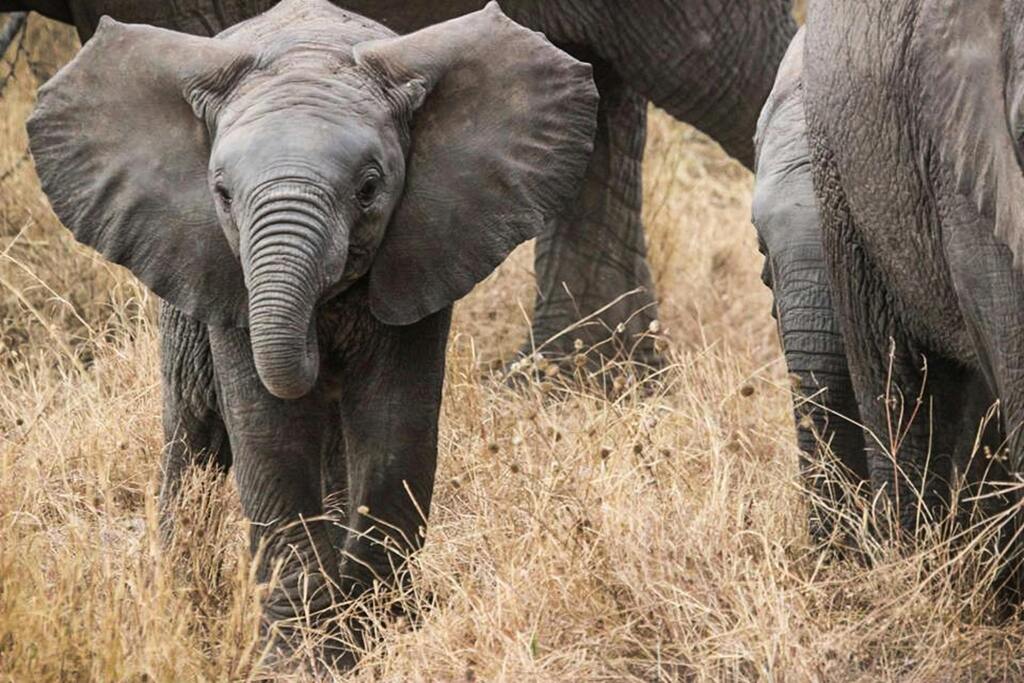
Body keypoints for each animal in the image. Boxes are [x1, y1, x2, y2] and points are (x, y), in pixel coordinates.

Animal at [27, 0, 598, 660]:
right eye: (222, 194)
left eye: (369, 189)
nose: (315, 345)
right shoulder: (223, 275)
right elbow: (269, 433)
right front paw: (300, 655)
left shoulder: (426, 247)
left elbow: (394, 426)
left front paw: (375, 634)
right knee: (193, 433)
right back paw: (181, 600)